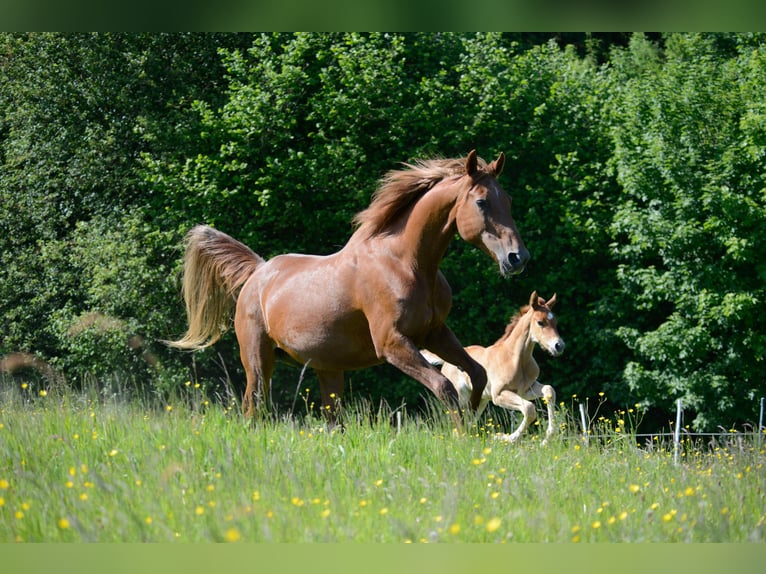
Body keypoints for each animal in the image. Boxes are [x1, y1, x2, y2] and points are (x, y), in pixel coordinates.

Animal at [168, 151, 528, 426]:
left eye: (509, 200)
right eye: (482, 202)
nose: (518, 257)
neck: (405, 263)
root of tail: (259, 270)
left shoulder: (435, 333)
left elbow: (477, 373)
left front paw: (477, 423)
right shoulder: (393, 344)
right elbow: (444, 387)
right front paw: (462, 434)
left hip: (327, 369)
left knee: (331, 420)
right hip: (258, 359)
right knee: (253, 406)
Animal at [420, 292, 564, 446]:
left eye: (556, 323)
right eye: (540, 322)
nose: (559, 346)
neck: (516, 359)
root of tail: (447, 362)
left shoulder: (525, 390)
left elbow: (549, 390)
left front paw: (547, 439)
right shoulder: (498, 395)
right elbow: (529, 408)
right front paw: (505, 438)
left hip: (480, 401)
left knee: (469, 424)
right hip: (462, 399)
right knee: (458, 427)